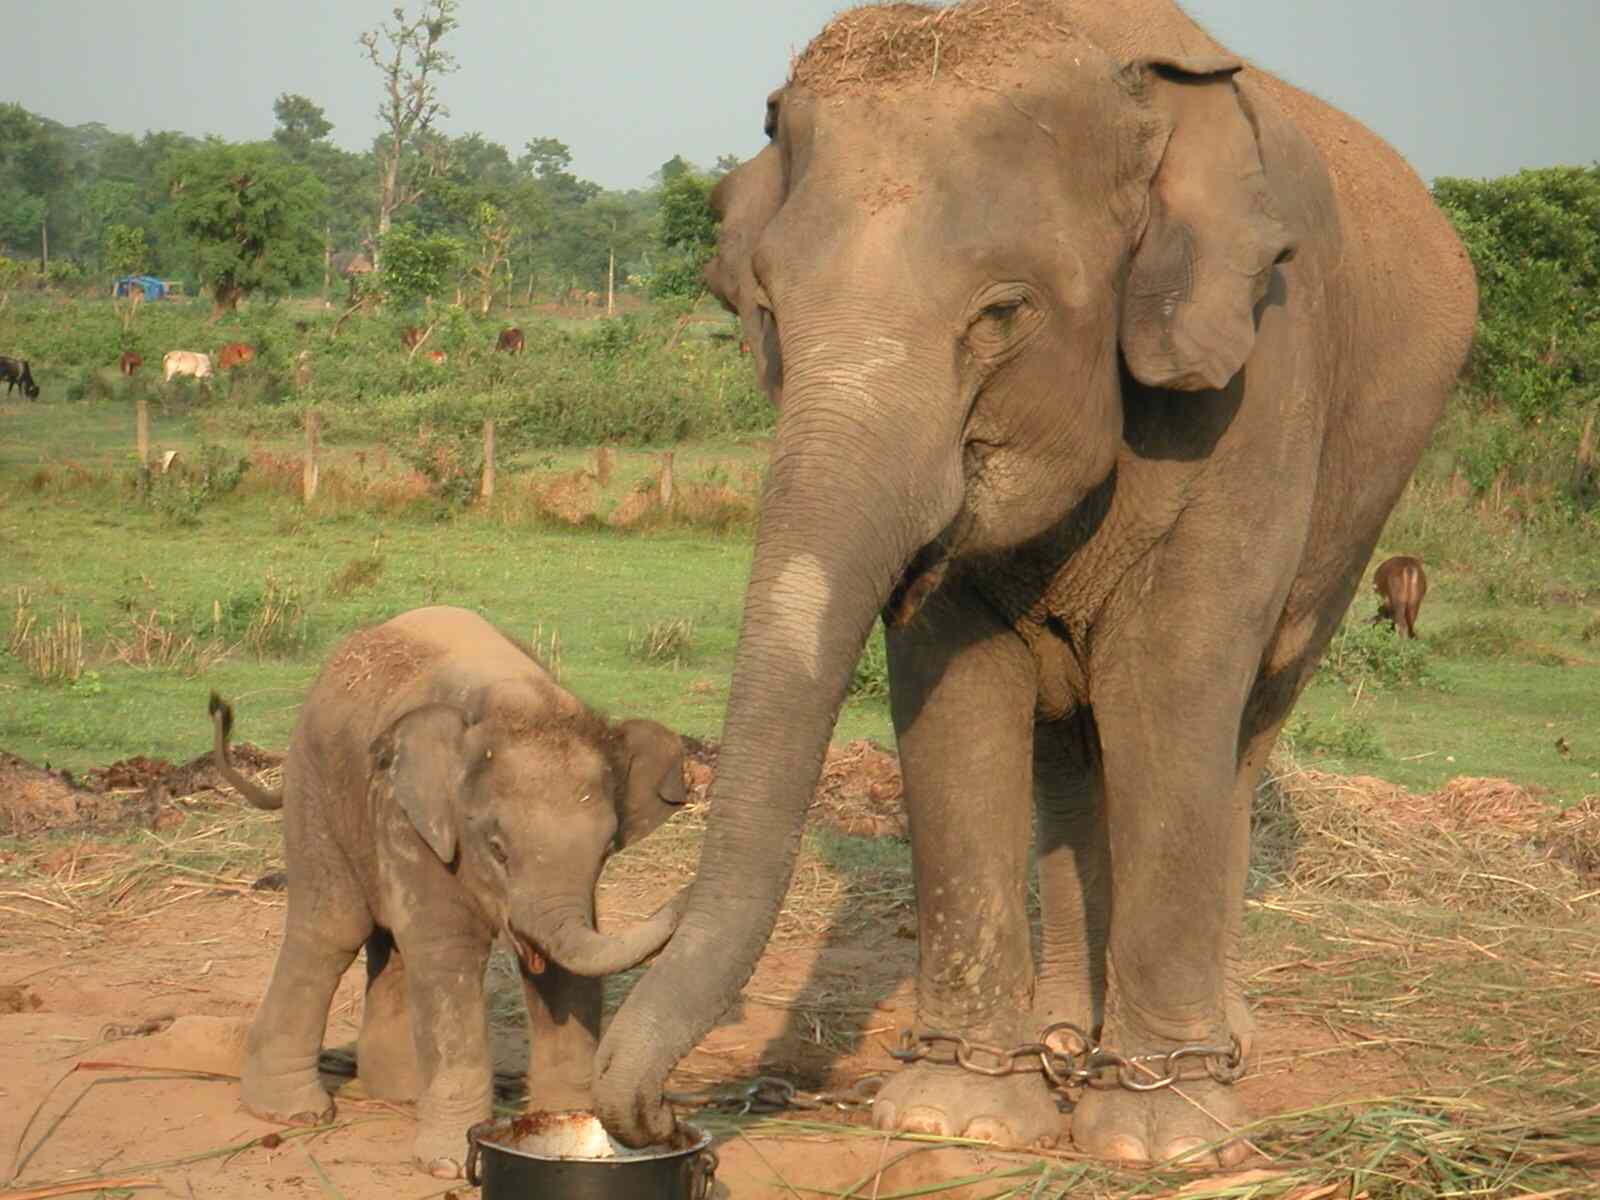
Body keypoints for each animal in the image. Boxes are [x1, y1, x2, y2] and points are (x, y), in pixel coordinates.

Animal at [212, 604, 688, 1177]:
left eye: (605, 851)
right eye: (498, 850)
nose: (686, 897)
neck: (518, 699)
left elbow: (569, 970)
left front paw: (573, 1129)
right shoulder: (414, 815)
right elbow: (447, 953)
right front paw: (450, 1163)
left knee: (389, 944)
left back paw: (399, 1094)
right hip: (317, 784)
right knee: (332, 928)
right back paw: (291, 1113)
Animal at [598, 0, 1472, 1164]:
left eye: (1003, 312)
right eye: (764, 306)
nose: (662, 1118)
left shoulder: (1259, 378)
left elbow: (1171, 678)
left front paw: (1159, 1140)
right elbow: (953, 694)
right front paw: (958, 1113)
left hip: (1364, 493)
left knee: (1246, 720)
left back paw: (1215, 1049)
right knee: (1069, 747)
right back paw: (1064, 1036)